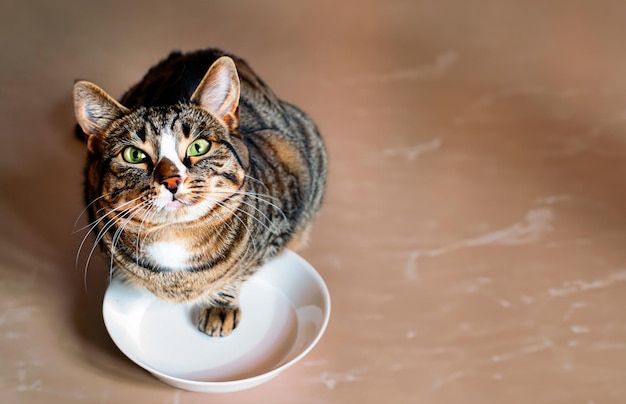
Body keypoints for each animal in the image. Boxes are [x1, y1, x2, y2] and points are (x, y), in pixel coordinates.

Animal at [73, 48, 326, 338]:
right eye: (134, 155)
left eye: (199, 147)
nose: (172, 179)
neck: (175, 237)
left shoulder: (282, 218)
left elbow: (239, 273)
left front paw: (220, 306)